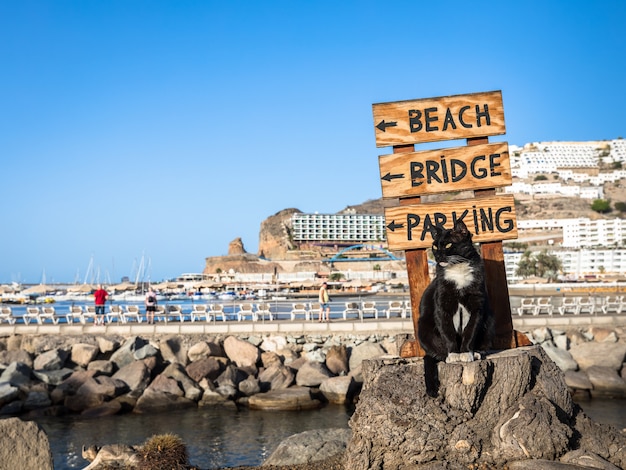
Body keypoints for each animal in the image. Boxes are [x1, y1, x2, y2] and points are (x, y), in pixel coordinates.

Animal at [416, 219, 494, 396]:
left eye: (448, 244)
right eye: (434, 246)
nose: (437, 255)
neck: (458, 269)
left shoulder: (477, 305)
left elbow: (470, 330)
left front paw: (466, 353)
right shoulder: (442, 306)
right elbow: (447, 331)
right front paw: (453, 355)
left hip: (490, 319)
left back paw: (477, 353)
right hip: (422, 326)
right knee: (435, 352)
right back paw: (444, 355)